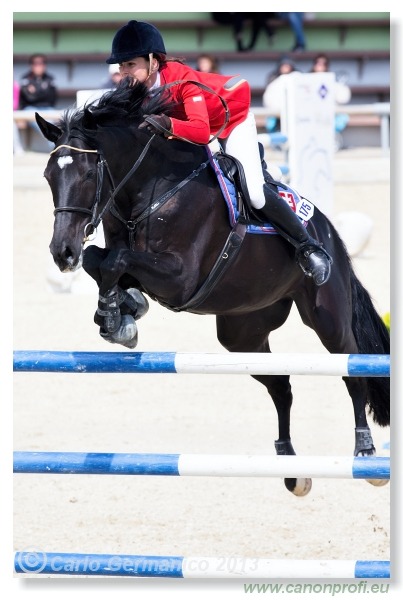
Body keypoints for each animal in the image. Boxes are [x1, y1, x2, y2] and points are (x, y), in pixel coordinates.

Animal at [36, 84, 390, 496]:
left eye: (89, 173)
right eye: (48, 175)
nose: (62, 253)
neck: (149, 189)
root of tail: (328, 231)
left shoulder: (181, 278)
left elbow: (115, 261)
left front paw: (115, 315)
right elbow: (100, 259)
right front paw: (122, 313)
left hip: (328, 317)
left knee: (353, 371)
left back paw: (365, 452)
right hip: (243, 334)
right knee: (280, 385)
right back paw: (291, 468)